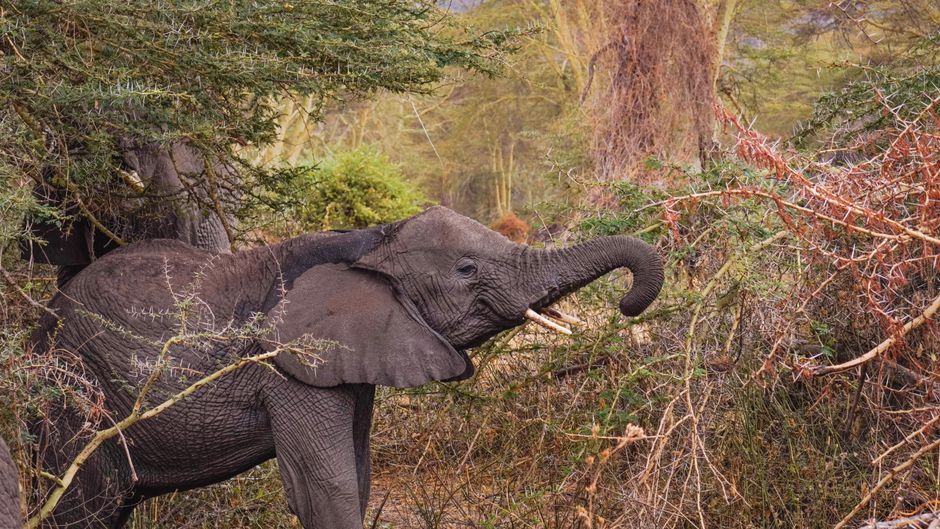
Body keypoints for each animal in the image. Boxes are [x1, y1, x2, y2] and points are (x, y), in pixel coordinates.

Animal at [30, 206, 664, 529]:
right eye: (465, 270)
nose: (626, 304)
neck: (367, 242)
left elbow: (356, 476)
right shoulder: (288, 368)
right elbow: (326, 483)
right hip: (72, 398)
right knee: (83, 509)